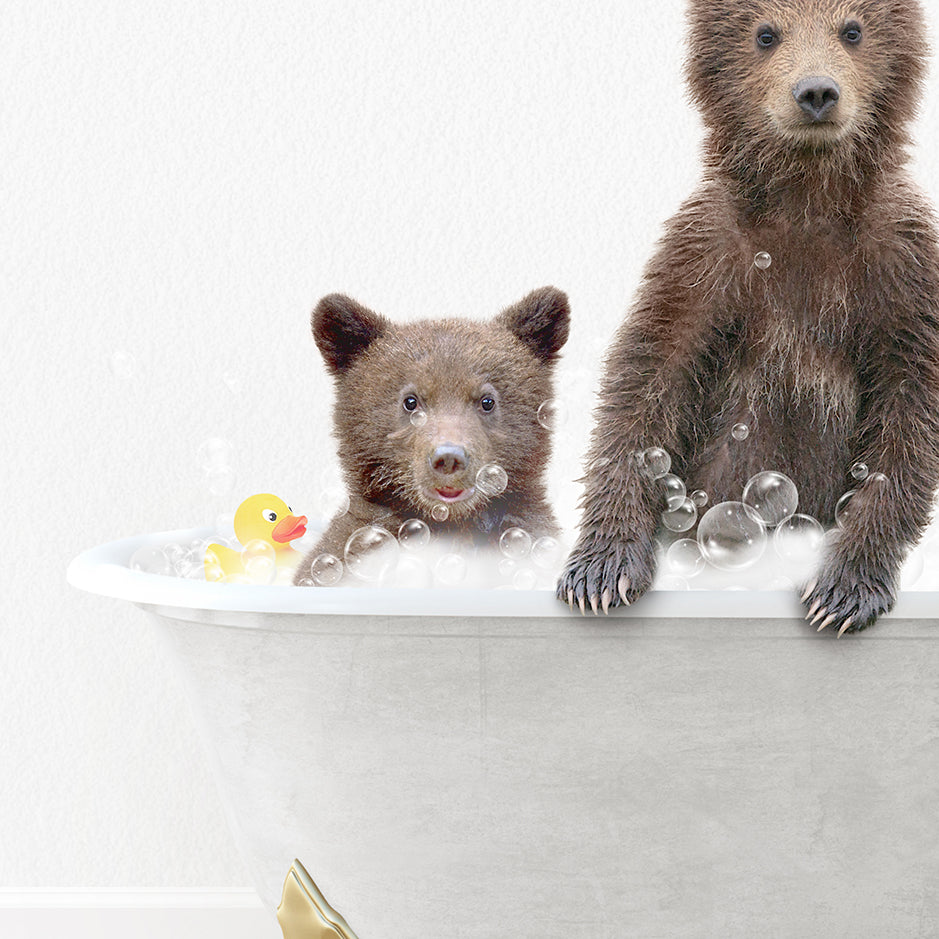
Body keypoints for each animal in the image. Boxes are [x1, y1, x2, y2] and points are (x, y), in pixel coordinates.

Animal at [560, 0, 939, 636]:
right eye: (766, 33)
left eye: (852, 30)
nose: (816, 91)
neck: (806, 203)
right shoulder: (707, 256)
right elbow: (647, 378)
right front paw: (601, 568)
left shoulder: (901, 269)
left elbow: (910, 416)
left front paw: (842, 589)